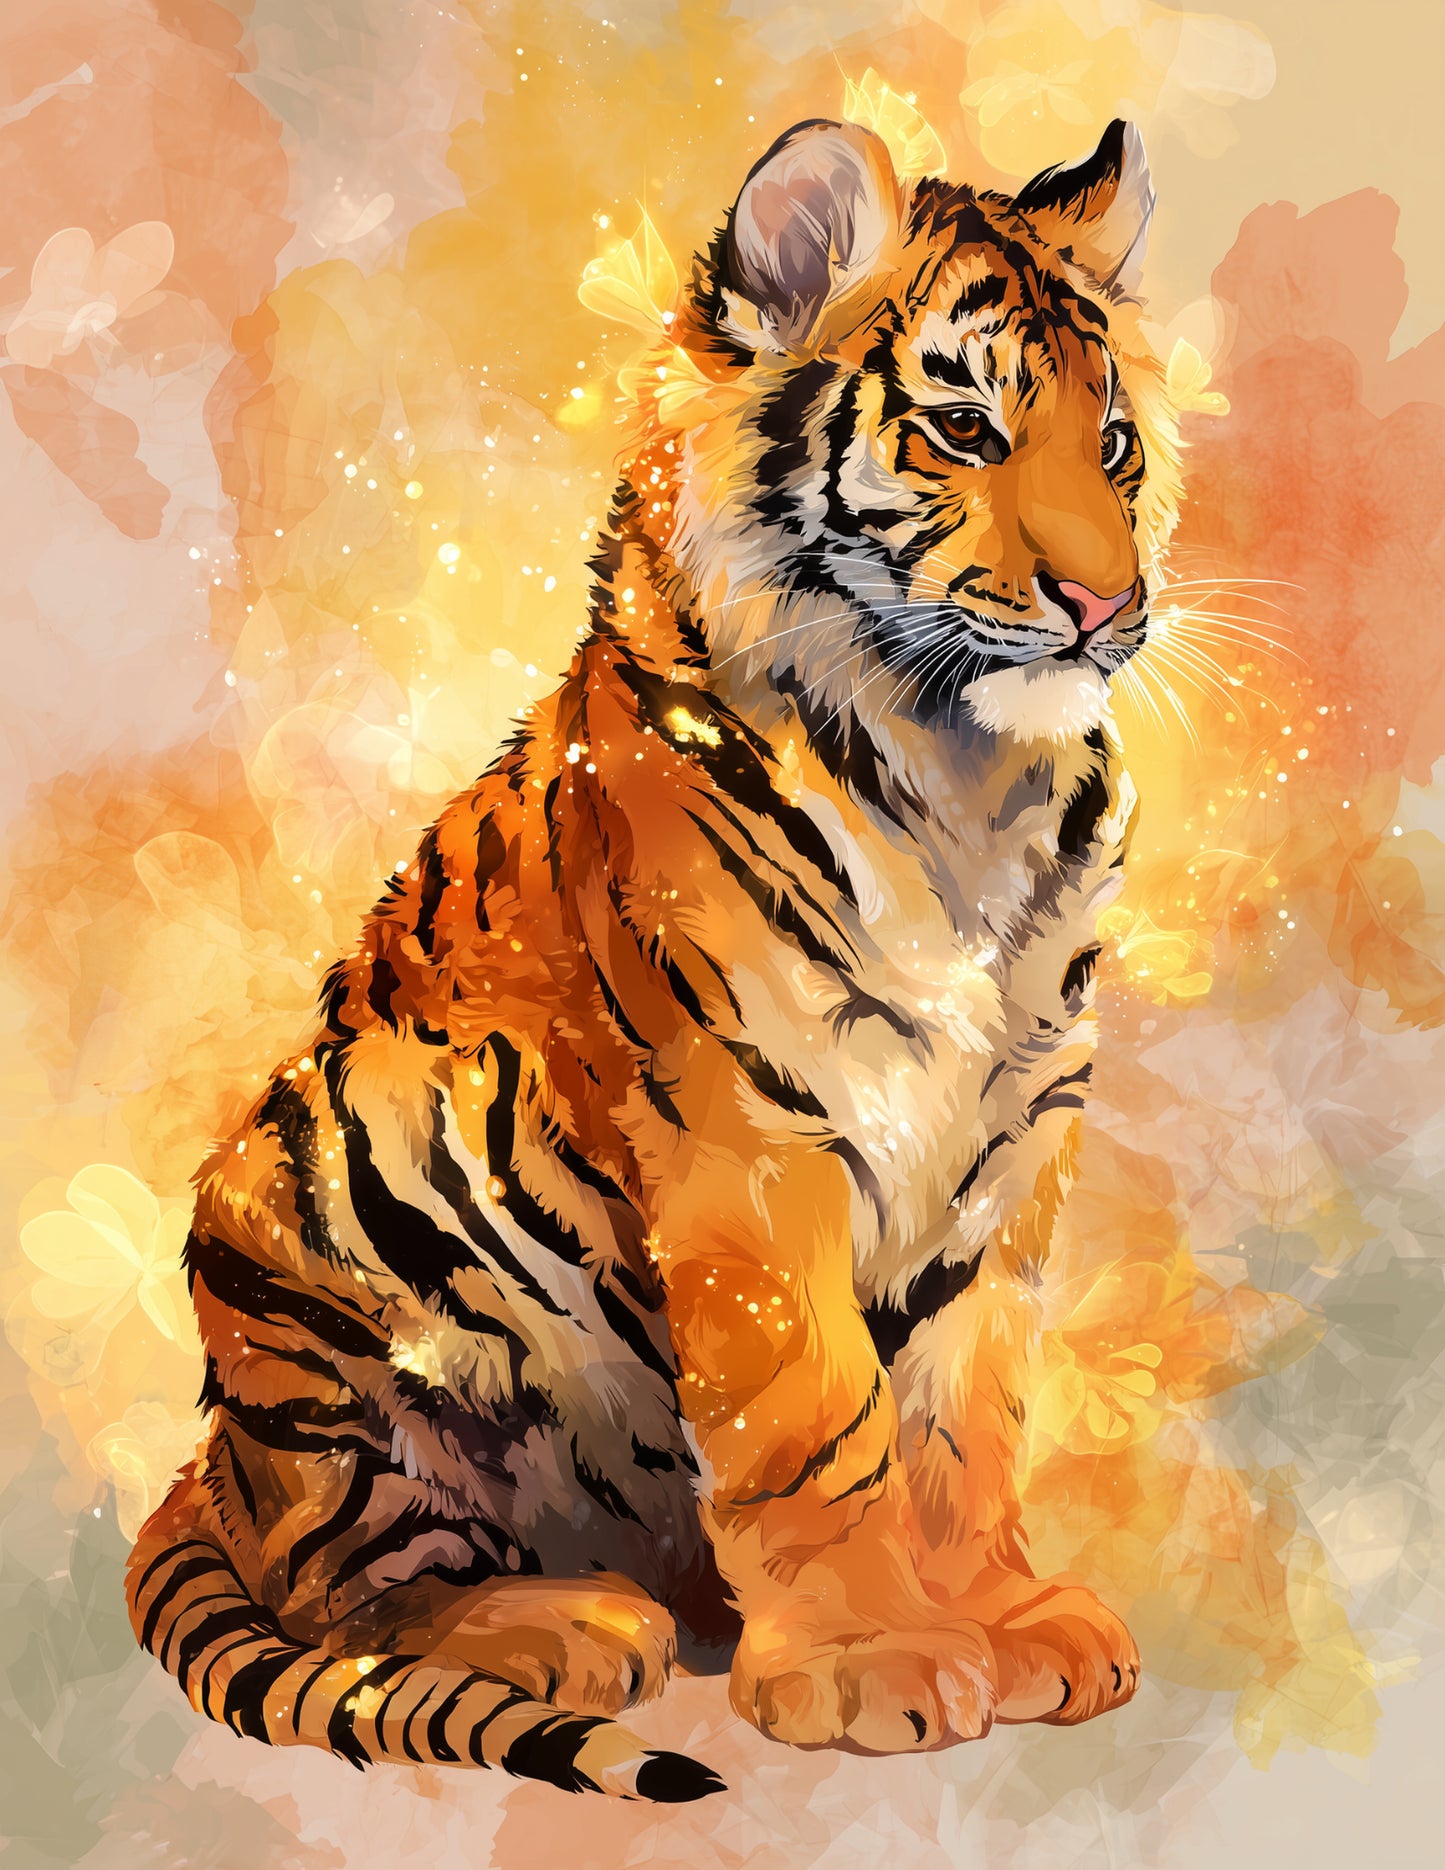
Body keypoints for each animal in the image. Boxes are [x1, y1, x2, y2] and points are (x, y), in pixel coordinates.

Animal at [126, 114, 1181, 1801]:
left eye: (1119, 444)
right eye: (961, 425)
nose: (1110, 605)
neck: (971, 782)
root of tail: (214, 1462)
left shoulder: (1016, 1138)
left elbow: (965, 1410)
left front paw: (1007, 1620)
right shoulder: (749, 1134)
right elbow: (814, 1413)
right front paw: (870, 1658)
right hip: (338, 1160)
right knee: (347, 1590)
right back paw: (569, 1626)